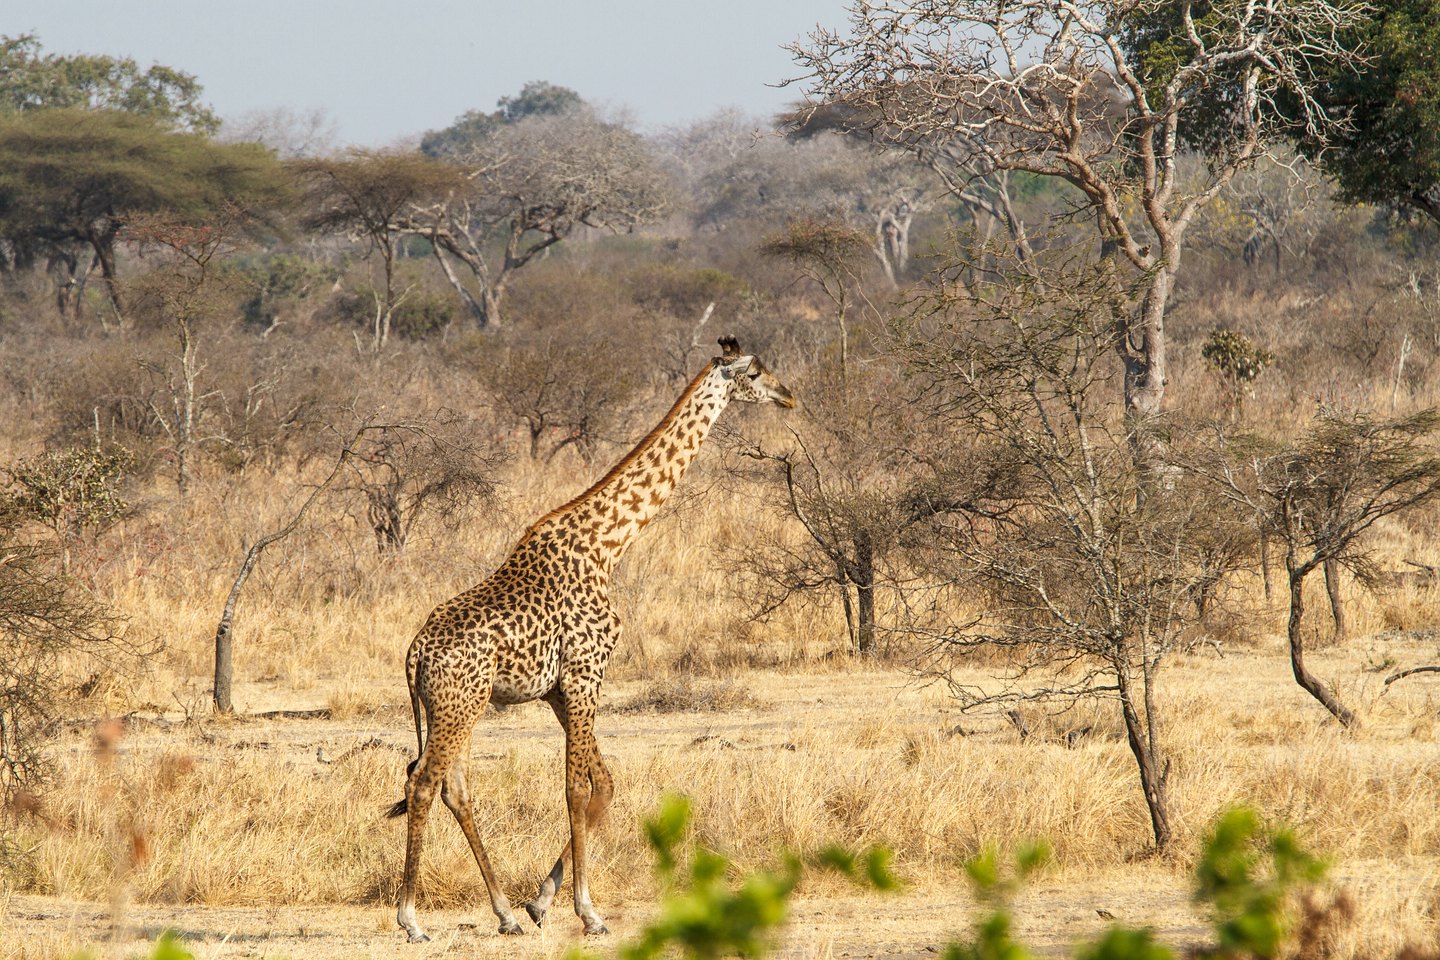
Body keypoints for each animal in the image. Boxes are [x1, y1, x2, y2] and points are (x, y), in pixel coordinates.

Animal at [388, 336, 794, 938]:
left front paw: (541, 903)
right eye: (758, 371)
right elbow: (576, 788)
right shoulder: (586, 674)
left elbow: (604, 782)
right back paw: (412, 919)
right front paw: (587, 910)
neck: (609, 544)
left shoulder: (560, 690)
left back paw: (504, 913)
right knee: (422, 784)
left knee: (453, 787)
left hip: (457, 707)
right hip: (460, 705)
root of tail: (414, 654)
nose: (790, 396)